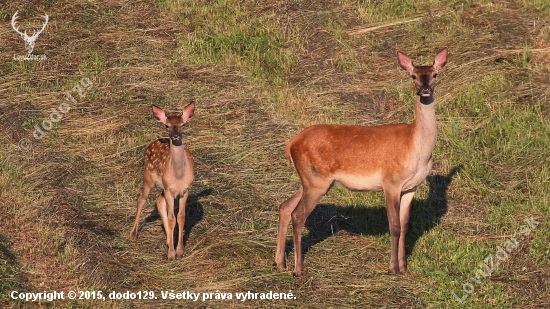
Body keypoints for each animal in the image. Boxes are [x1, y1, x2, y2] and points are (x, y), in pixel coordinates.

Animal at [130, 102, 196, 258]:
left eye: (183, 124)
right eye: (167, 125)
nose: (175, 135)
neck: (178, 176)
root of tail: (152, 143)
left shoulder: (185, 190)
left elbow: (181, 217)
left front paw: (180, 250)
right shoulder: (169, 190)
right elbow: (172, 218)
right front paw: (171, 254)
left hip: (162, 186)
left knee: (159, 201)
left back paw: (168, 240)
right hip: (149, 176)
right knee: (141, 199)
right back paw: (133, 234)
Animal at [276, 47, 448, 274]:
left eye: (435, 74)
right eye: (413, 76)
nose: (425, 90)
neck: (417, 147)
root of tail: (291, 143)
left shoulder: (411, 187)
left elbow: (405, 226)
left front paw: (404, 267)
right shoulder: (390, 182)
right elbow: (394, 226)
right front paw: (393, 268)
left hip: (311, 179)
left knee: (285, 207)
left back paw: (280, 263)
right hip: (316, 181)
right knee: (298, 215)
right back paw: (299, 269)